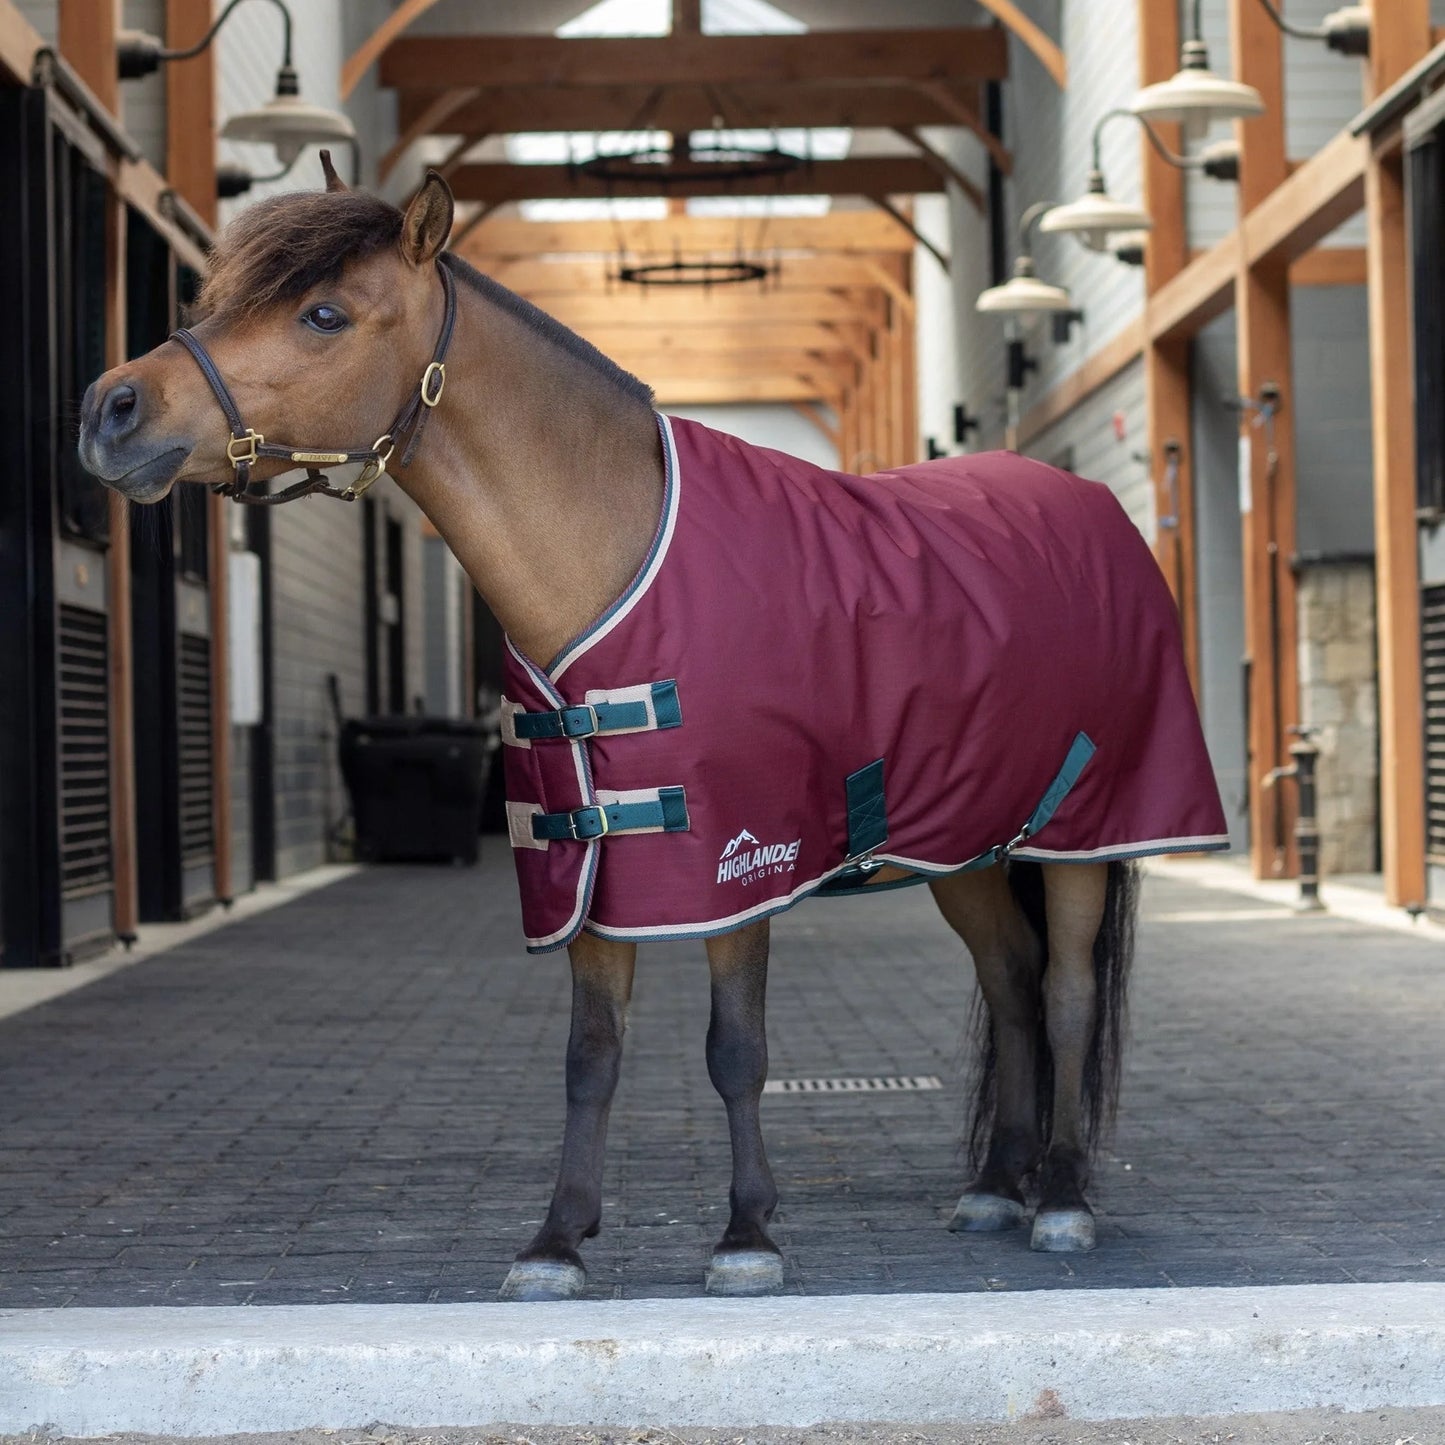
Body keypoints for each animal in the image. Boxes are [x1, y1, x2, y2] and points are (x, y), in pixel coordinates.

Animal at [79, 161, 1228, 1302]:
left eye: (323, 313)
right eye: (217, 297)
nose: (110, 407)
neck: (615, 552)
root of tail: (1094, 514)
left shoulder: (740, 863)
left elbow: (735, 1048)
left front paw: (747, 1234)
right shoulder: (587, 863)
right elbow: (591, 1053)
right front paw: (556, 1239)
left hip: (1083, 835)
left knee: (1066, 991)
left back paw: (1064, 1197)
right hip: (967, 848)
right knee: (1011, 983)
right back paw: (997, 1184)